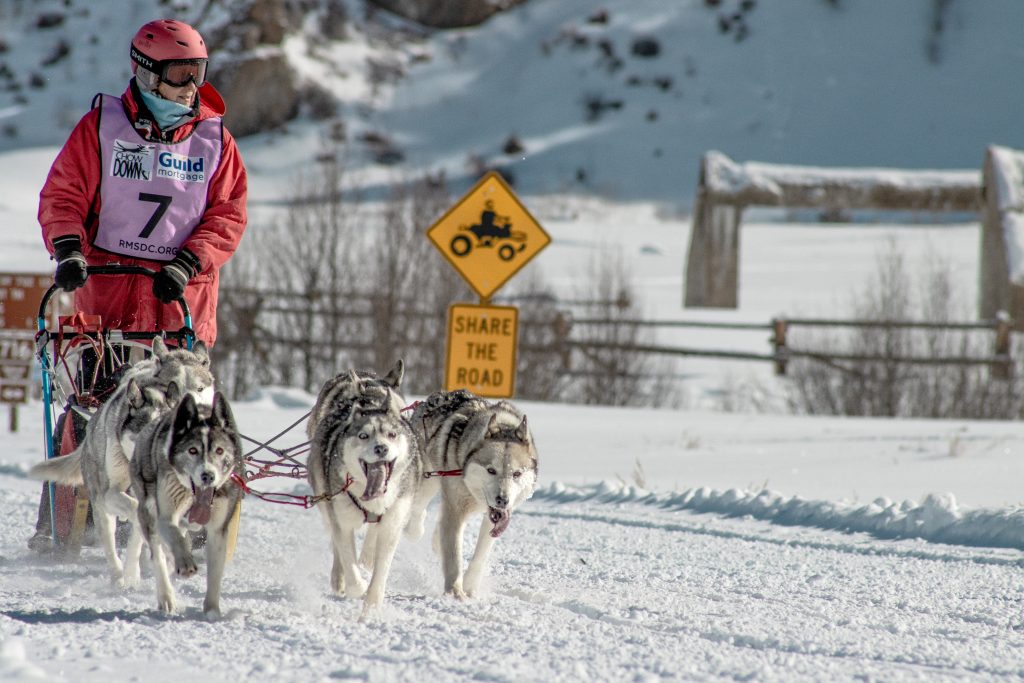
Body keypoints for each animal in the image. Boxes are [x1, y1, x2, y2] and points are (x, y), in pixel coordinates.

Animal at [129, 392, 243, 618]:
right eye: (192, 450)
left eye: (219, 450)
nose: (208, 475)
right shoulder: (165, 517)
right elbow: (175, 538)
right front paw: (185, 562)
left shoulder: (218, 529)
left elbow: (215, 573)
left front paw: (212, 612)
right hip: (147, 515)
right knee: (159, 555)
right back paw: (167, 597)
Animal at [306, 361, 421, 615]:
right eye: (363, 435)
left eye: (392, 434)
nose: (381, 448)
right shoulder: (341, 520)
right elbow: (348, 560)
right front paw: (356, 588)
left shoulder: (393, 521)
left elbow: (381, 565)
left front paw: (373, 602)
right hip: (327, 504)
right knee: (337, 547)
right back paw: (339, 579)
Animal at [409, 390, 538, 599]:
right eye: (491, 470)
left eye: (516, 474)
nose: (502, 500)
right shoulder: (455, 511)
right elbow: (454, 556)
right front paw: (455, 591)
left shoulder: (491, 520)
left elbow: (480, 555)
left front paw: (469, 586)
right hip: (429, 479)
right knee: (418, 507)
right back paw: (413, 529)